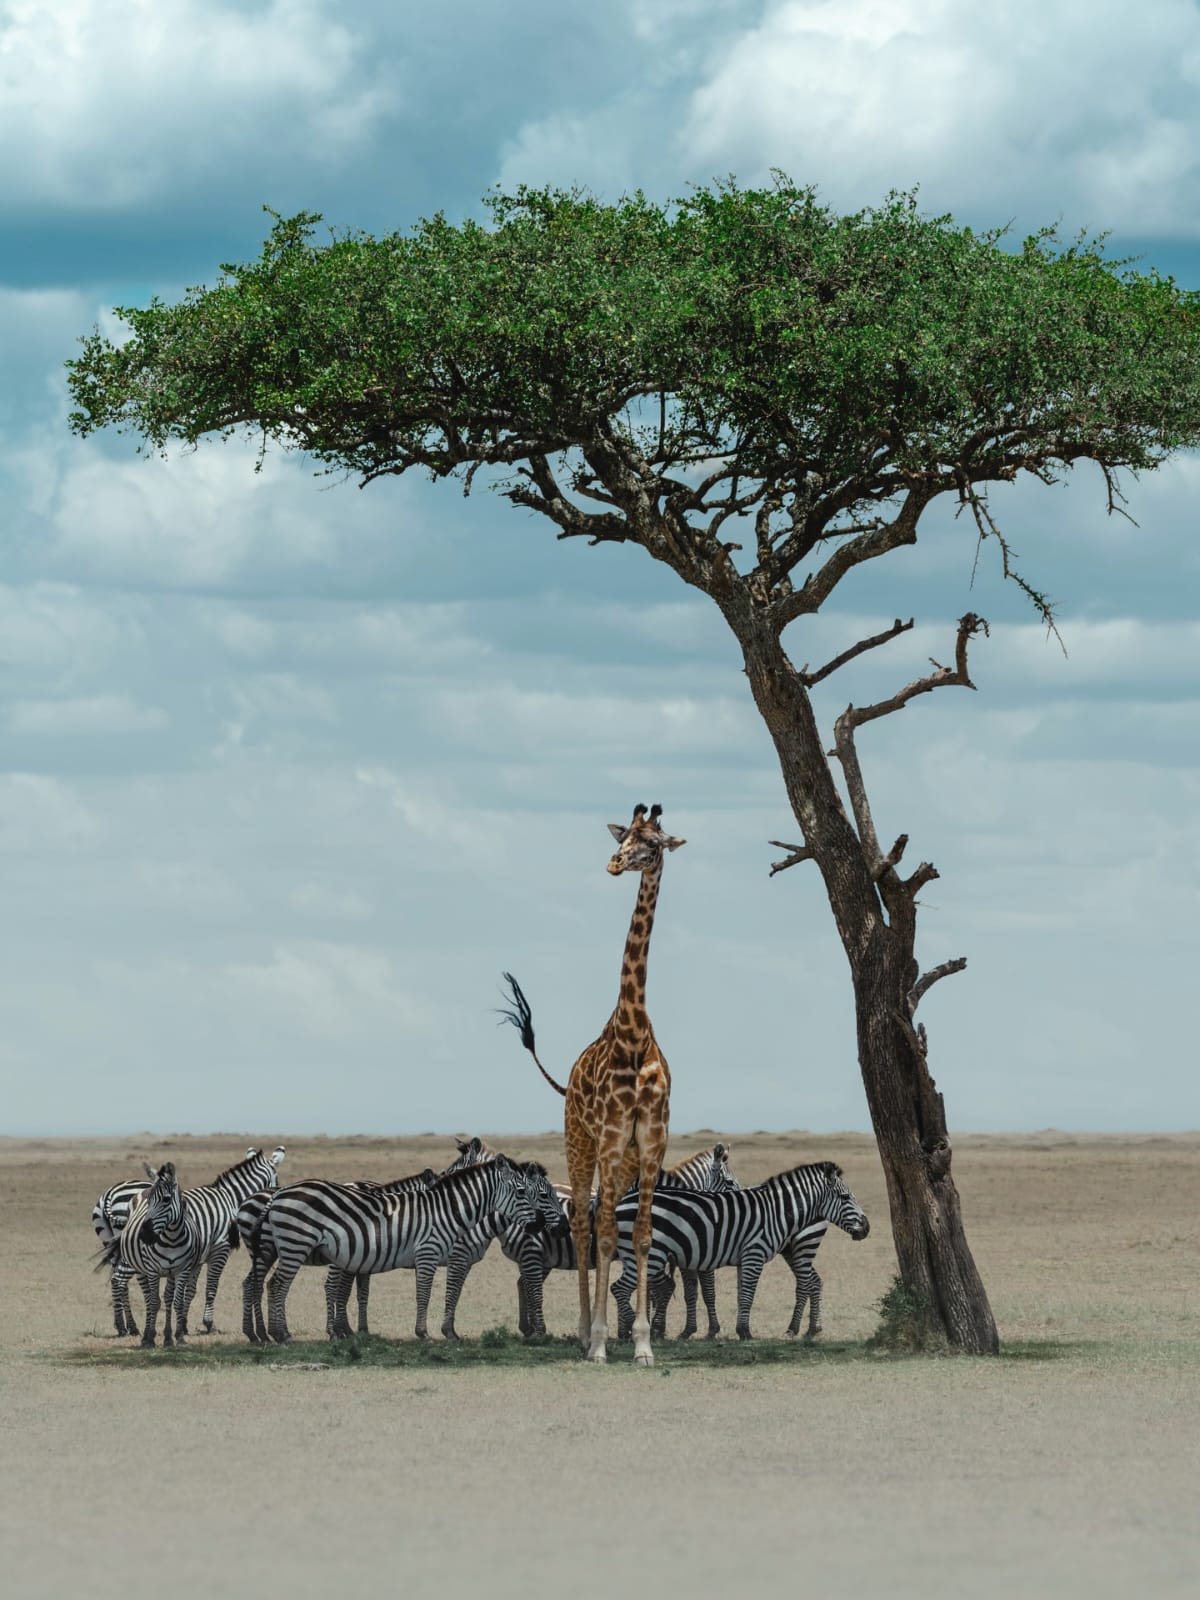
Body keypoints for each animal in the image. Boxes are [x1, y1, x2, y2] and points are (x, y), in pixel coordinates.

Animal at [262, 1156, 561, 1344]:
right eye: (524, 1192)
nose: (541, 1225)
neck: (448, 1211)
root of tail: (280, 1193)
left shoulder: (435, 1257)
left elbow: (441, 1293)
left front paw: (442, 1331)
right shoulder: (429, 1253)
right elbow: (426, 1294)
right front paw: (425, 1333)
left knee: (275, 1285)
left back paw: (282, 1333)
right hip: (296, 1243)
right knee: (279, 1285)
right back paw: (282, 1335)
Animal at [500, 802, 685, 1365]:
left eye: (653, 844)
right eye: (623, 837)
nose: (614, 863)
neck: (633, 1034)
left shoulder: (651, 1143)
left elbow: (641, 1236)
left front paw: (643, 1345)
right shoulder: (608, 1138)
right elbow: (604, 1234)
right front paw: (603, 1341)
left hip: (620, 1160)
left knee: (601, 1222)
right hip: (580, 1144)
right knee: (585, 1224)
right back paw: (585, 1334)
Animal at [610, 1162, 869, 1340]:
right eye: (845, 1196)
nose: (866, 1228)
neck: (776, 1211)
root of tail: (623, 1202)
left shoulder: (741, 1257)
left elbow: (741, 1294)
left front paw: (735, 1329)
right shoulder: (753, 1253)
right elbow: (746, 1294)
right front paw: (744, 1331)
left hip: (800, 1248)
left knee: (810, 1282)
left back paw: (808, 1329)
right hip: (647, 1255)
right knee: (619, 1288)